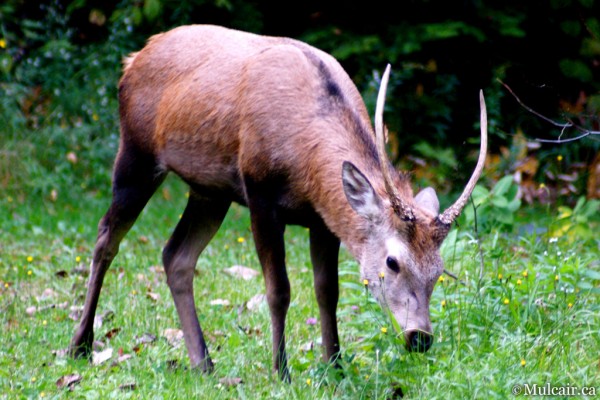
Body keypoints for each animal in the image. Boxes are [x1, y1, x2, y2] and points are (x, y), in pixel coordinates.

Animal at [69, 23, 488, 380]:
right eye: (392, 261)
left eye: (439, 270)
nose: (420, 338)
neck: (306, 165)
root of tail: (132, 59)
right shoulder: (260, 196)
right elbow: (279, 290)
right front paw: (281, 371)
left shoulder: (323, 218)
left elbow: (327, 291)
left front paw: (335, 366)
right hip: (136, 154)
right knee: (106, 238)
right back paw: (80, 345)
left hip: (210, 191)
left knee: (176, 256)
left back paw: (203, 362)